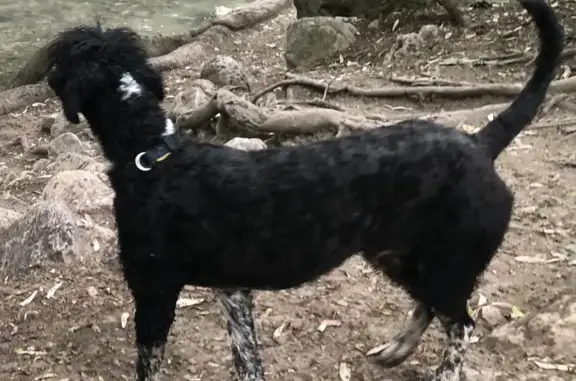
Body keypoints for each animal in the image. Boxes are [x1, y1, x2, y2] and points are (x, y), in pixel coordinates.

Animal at [46, 1, 564, 378]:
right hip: (401, 257)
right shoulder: (233, 293)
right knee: (436, 309)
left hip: (441, 260)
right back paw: (398, 348)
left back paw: (444, 372)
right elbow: (248, 362)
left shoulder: (154, 293)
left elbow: (149, 368)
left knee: (460, 325)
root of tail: (480, 142)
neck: (152, 151)